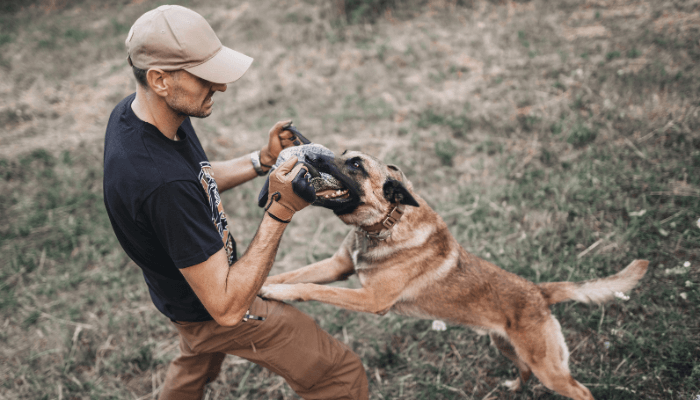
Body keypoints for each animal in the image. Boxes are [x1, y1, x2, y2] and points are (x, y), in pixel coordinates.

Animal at [260, 150, 648, 400]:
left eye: (355, 165)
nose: (310, 156)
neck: (386, 224)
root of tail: (539, 292)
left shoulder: (371, 299)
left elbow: (311, 287)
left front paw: (277, 293)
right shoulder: (337, 266)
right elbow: (296, 273)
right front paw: (262, 284)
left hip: (549, 368)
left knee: (580, 390)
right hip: (506, 346)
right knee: (523, 371)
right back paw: (514, 389)